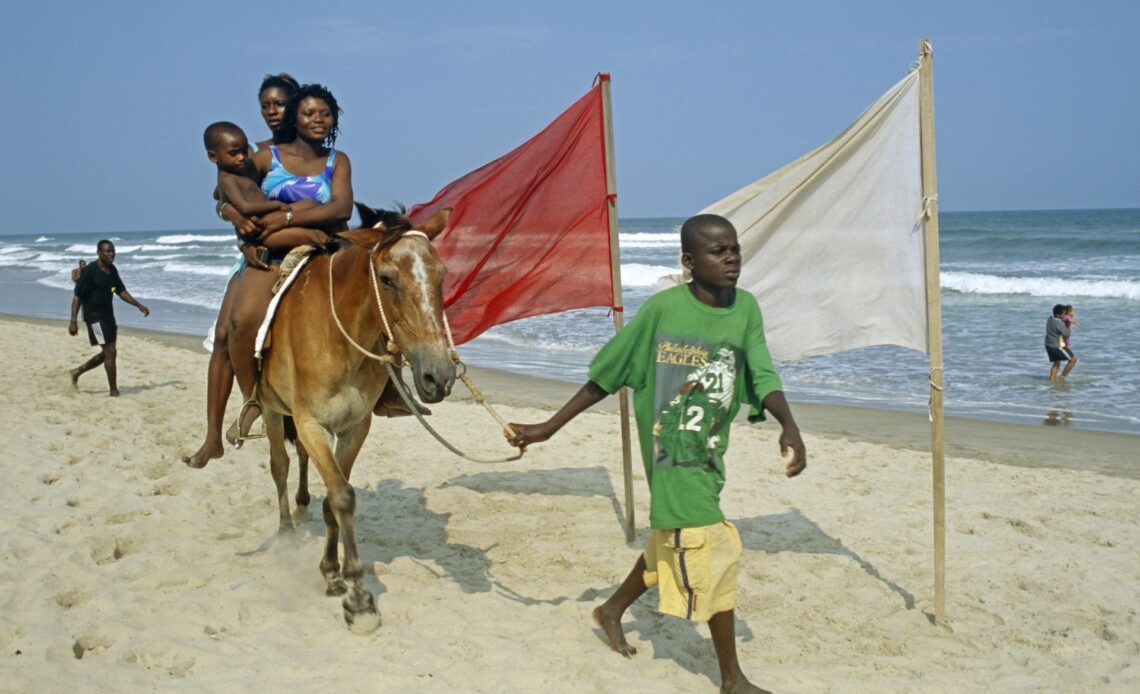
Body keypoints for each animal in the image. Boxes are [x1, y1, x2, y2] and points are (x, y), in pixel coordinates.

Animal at [258, 208, 453, 629]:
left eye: (442, 276)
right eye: (387, 279)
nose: (439, 376)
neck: (340, 337)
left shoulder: (354, 427)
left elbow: (335, 498)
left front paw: (333, 574)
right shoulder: (311, 424)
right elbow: (343, 496)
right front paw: (359, 599)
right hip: (269, 407)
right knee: (279, 465)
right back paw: (286, 533)